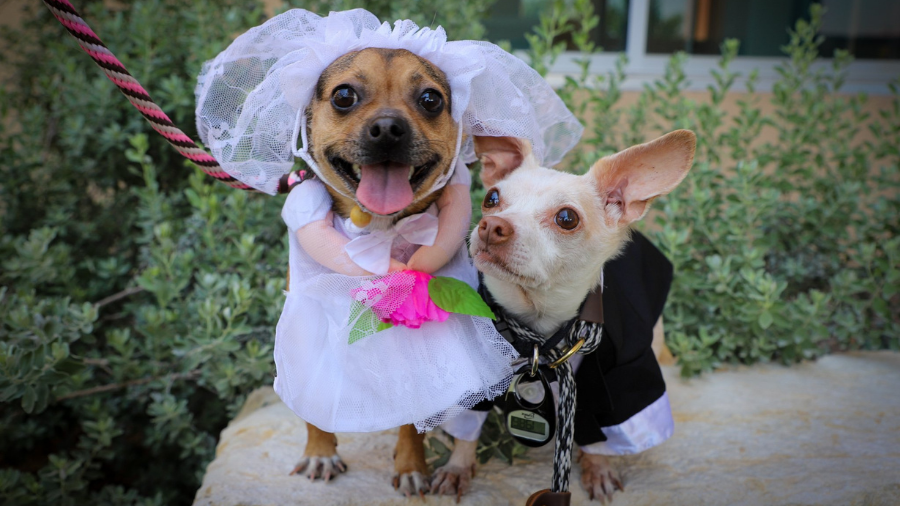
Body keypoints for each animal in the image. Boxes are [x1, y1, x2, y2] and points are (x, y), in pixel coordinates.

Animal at [286, 47, 460, 498]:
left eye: (431, 99)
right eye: (344, 95)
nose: (387, 128)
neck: (378, 230)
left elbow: (412, 418)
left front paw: (412, 465)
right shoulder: (307, 324)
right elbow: (313, 398)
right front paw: (319, 451)